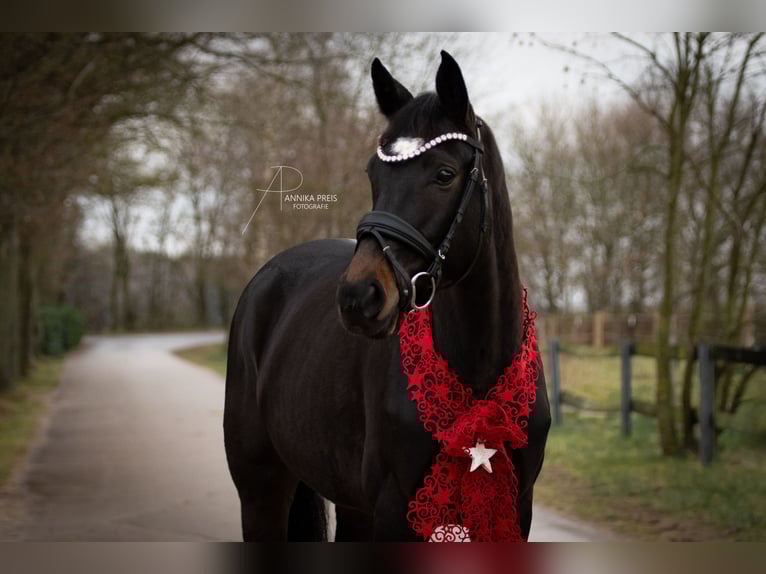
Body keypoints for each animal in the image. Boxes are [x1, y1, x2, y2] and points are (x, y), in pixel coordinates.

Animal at [223, 51, 551, 542]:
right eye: (372, 173)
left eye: (444, 174)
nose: (359, 296)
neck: (478, 367)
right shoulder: (395, 512)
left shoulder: (515, 512)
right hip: (262, 492)